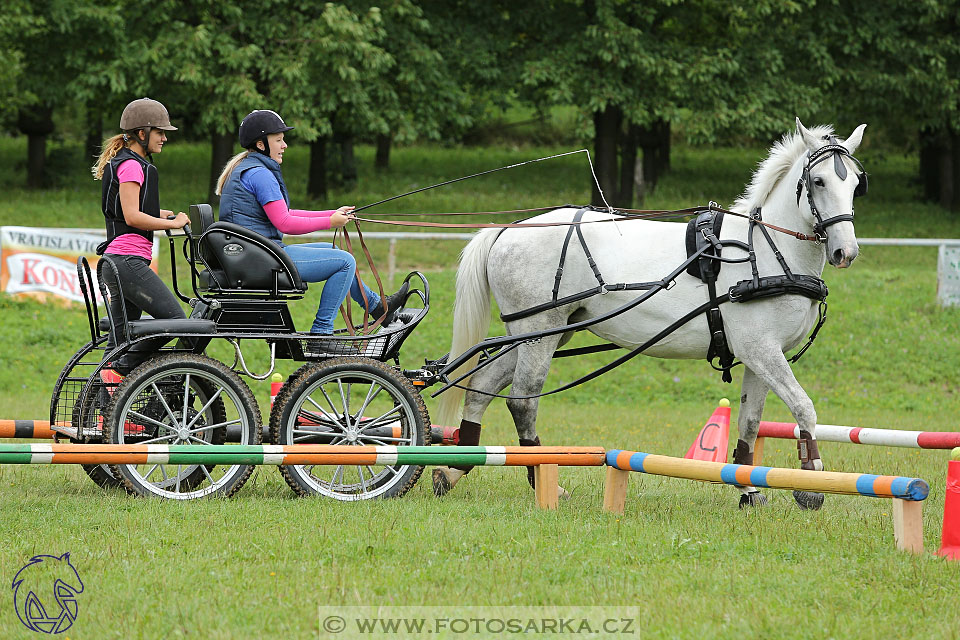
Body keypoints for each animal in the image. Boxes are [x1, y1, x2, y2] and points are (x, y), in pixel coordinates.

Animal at [432, 119, 868, 510]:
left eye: (855, 183)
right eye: (818, 181)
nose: (845, 252)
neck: (764, 249)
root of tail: (509, 228)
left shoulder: (760, 355)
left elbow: (750, 421)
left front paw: (749, 489)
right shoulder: (761, 349)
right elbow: (803, 406)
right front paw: (811, 486)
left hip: (537, 332)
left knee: (482, 387)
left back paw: (453, 468)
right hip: (540, 329)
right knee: (523, 400)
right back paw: (542, 481)